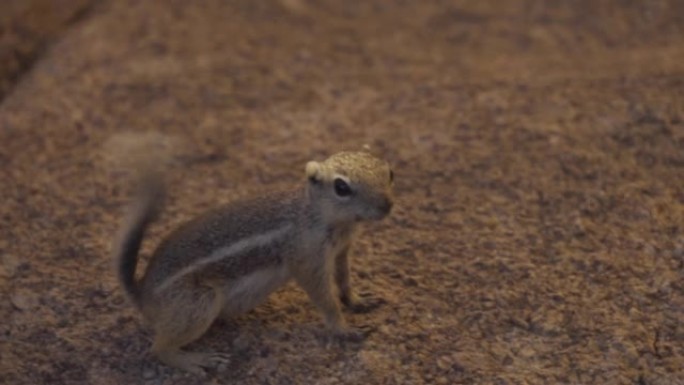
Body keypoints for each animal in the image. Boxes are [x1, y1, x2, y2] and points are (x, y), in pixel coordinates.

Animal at [109, 149, 392, 372]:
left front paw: (358, 301)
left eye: (389, 172)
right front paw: (344, 330)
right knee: (159, 349)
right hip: (197, 304)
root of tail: (143, 296)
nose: (386, 206)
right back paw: (197, 360)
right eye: (341, 187)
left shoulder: (342, 249)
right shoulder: (308, 259)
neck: (318, 215)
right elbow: (325, 299)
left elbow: (344, 279)